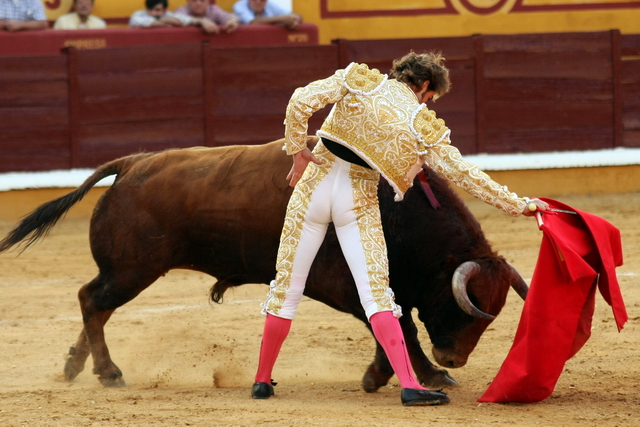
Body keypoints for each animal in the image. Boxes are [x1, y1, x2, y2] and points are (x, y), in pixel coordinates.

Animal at [0, 139, 528, 392]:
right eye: (464, 306)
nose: (454, 358)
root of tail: (130, 164)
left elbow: (392, 322)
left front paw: (397, 376)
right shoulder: (343, 281)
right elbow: (395, 324)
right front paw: (424, 376)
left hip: (125, 270)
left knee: (97, 305)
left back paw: (76, 367)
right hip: (133, 269)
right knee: (92, 300)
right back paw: (109, 373)